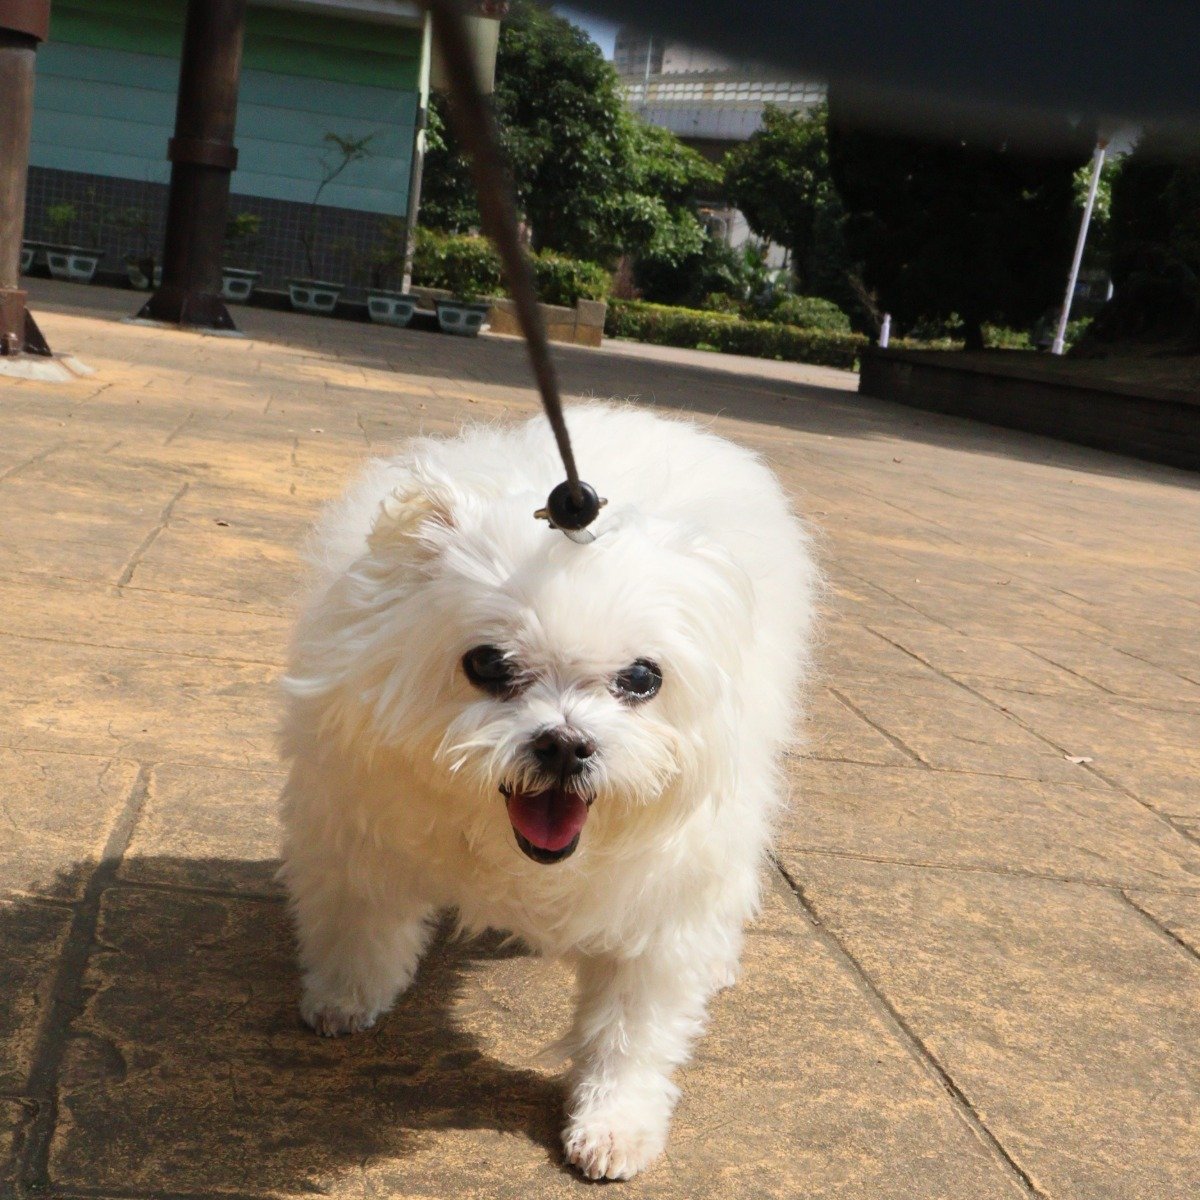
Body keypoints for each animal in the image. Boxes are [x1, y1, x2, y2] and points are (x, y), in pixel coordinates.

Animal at [279, 403, 817, 1179]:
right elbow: (360, 923)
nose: (564, 744)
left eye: (642, 678)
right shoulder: (358, 824)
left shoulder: (656, 910)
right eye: (486, 663)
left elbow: (632, 1030)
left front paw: (614, 1126)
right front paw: (345, 998)